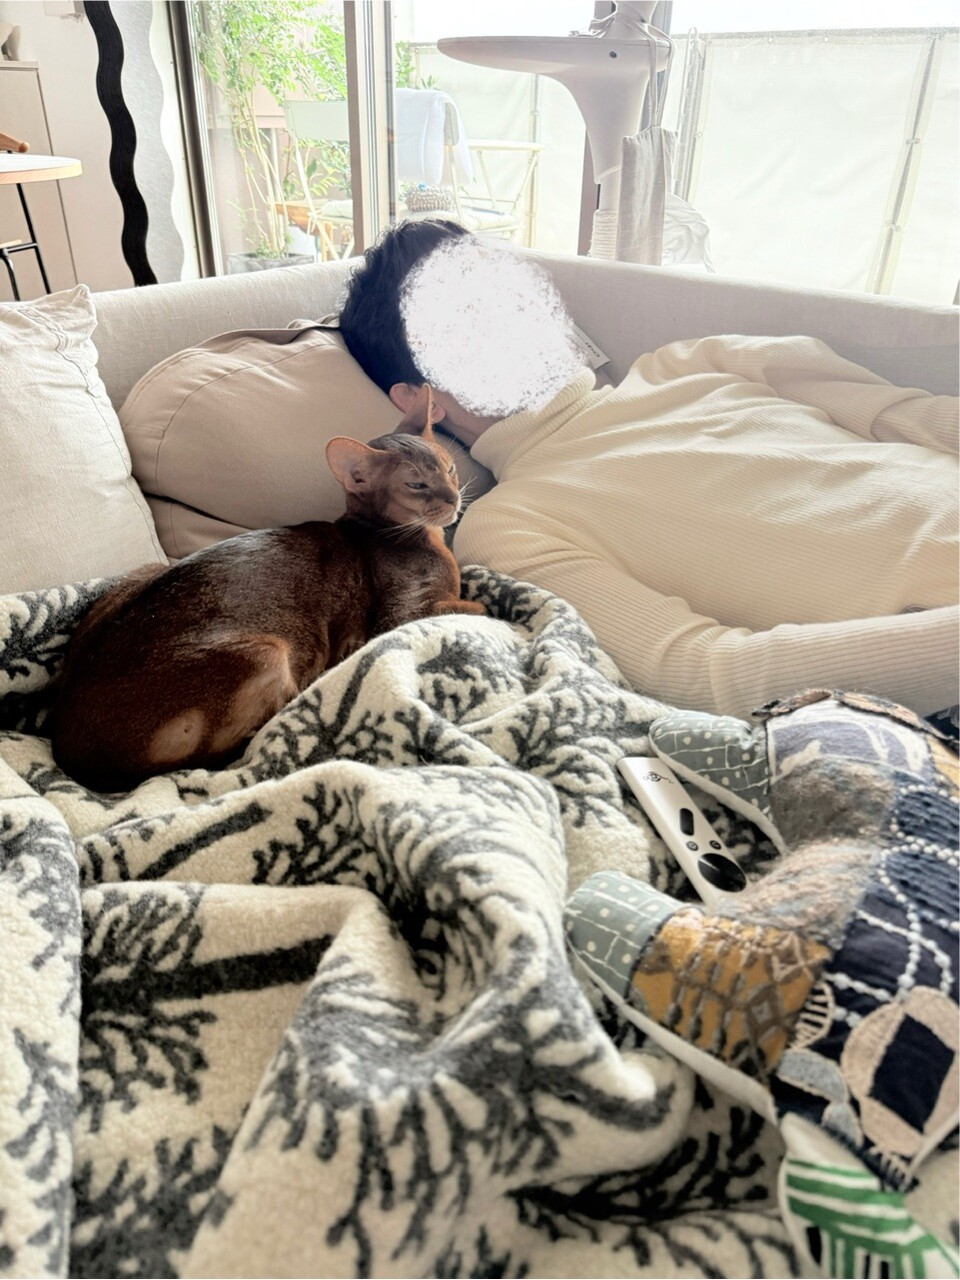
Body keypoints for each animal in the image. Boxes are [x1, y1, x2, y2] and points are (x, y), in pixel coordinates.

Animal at [52, 385, 486, 792]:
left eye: (449, 469)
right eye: (416, 484)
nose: (454, 499)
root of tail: (79, 760)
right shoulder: (400, 616)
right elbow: (476, 607)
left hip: (139, 576)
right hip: (266, 654)